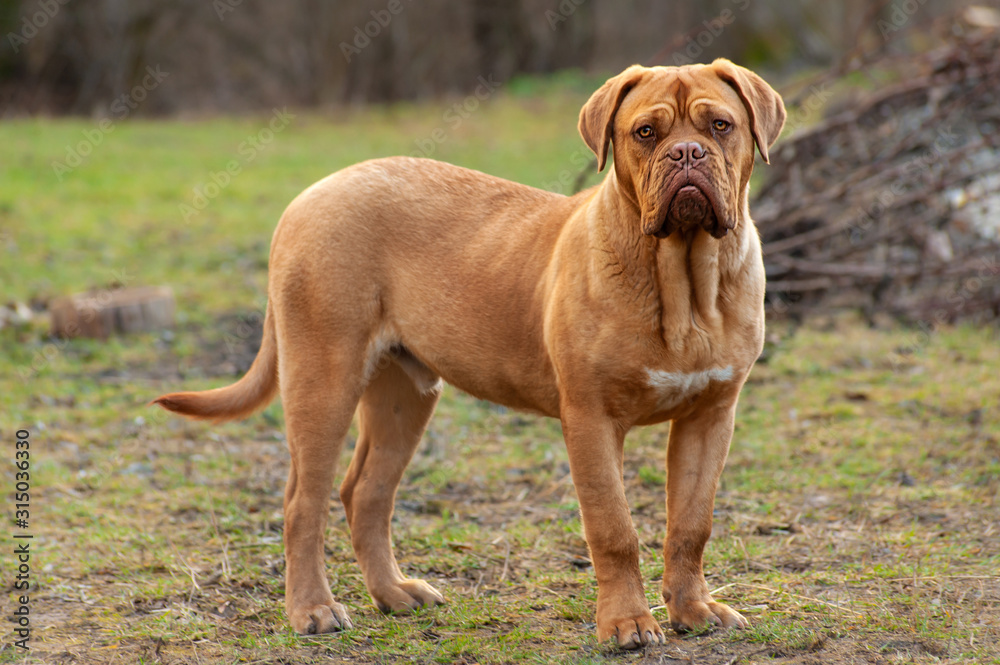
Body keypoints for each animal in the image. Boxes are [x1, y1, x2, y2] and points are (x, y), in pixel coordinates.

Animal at [154, 58, 780, 648]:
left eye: (720, 126)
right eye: (646, 132)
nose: (687, 153)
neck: (684, 282)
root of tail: (311, 194)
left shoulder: (710, 416)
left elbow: (691, 526)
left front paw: (693, 612)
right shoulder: (592, 419)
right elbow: (613, 529)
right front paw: (626, 624)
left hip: (403, 394)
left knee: (366, 493)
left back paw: (395, 593)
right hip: (322, 380)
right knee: (302, 503)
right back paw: (313, 609)